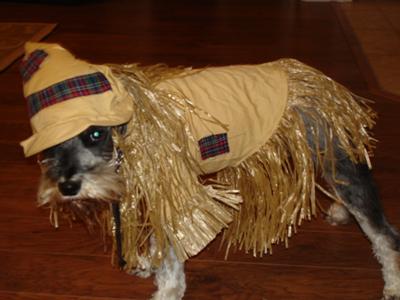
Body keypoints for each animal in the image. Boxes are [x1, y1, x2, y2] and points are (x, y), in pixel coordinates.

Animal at [21, 42, 400, 300]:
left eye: (96, 134)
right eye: (51, 144)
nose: (67, 186)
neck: (133, 122)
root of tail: (319, 82)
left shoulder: (175, 192)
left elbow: (172, 257)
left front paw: (167, 291)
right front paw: (148, 263)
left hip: (338, 161)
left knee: (385, 235)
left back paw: (393, 283)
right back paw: (340, 212)